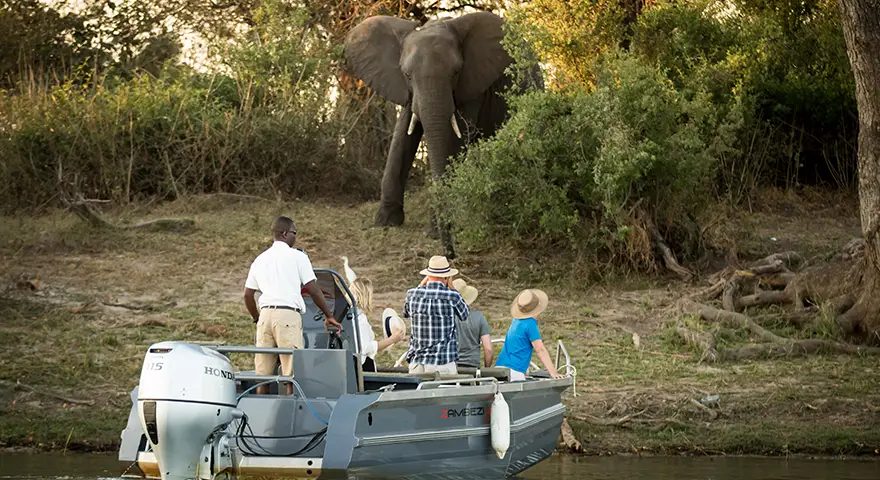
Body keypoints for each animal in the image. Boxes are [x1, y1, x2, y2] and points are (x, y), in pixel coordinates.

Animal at [346, 11, 544, 256]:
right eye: (407, 75)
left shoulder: (472, 84)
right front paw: (386, 222)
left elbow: (453, 141)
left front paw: (432, 232)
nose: (450, 254)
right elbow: (403, 136)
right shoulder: (407, 91)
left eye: (456, 72)